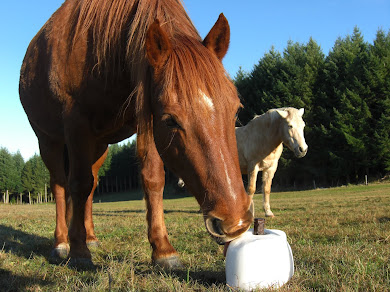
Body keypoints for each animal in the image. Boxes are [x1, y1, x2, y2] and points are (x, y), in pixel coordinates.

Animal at [19, 0, 254, 268]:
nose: (235, 222)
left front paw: (163, 250)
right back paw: (61, 242)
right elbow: (77, 183)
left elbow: (152, 179)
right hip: (49, 141)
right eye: (170, 120)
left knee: (92, 184)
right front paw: (78, 251)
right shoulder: (75, 123)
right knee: (60, 185)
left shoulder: (146, 114)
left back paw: (90, 237)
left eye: (235, 110)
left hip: (98, 146)